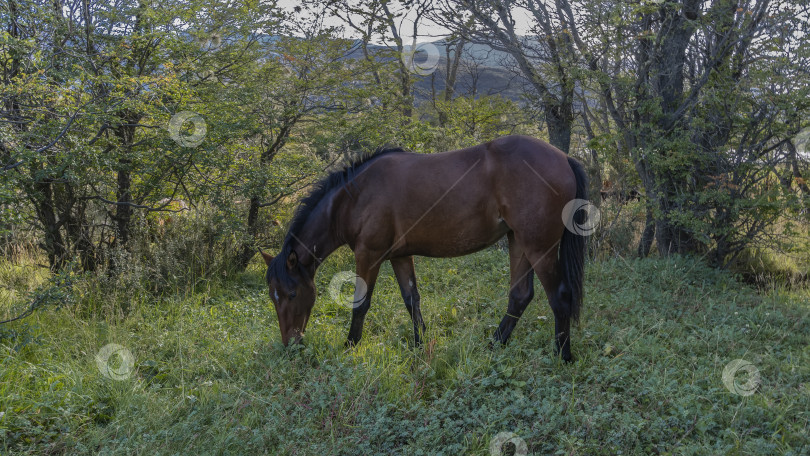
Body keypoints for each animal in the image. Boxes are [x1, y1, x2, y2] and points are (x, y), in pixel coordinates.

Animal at [262, 134, 584, 360]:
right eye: (272, 296)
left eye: (291, 294)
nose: (290, 345)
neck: (354, 197)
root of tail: (565, 158)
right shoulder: (401, 256)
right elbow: (411, 300)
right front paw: (420, 346)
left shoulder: (368, 255)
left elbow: (360, 303)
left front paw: (350, 345)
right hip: (519, 241)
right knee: (520, 296)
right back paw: (494, 345)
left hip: (538, 246)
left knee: (559, 296)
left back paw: (563, 356)